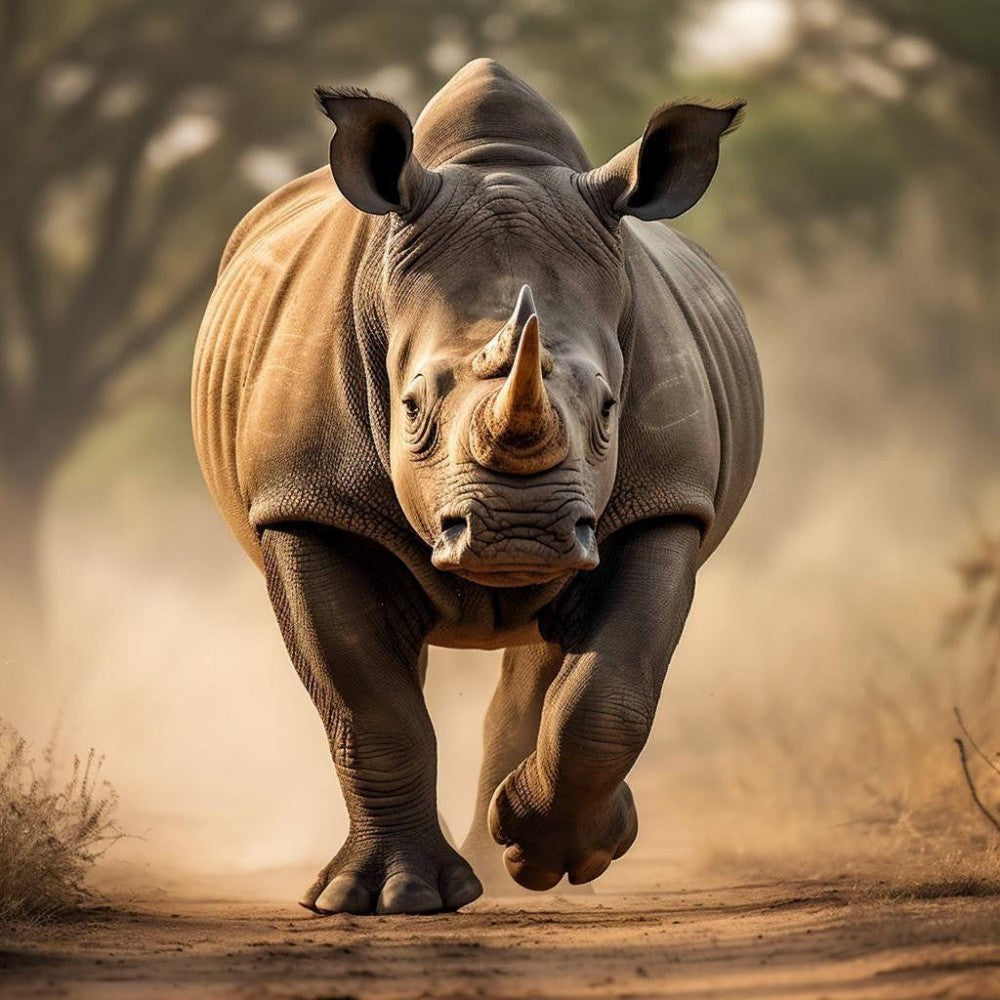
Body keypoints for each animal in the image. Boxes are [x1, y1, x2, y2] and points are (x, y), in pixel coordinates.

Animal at [193, 59, 762, 914]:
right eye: (411, 408)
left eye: (609, 408)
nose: (518, 535)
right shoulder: (305, 505)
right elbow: (369, 702)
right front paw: (389, 899)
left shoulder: (664, 503)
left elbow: (610, 692)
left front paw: (558, 847)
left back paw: (522, 856)